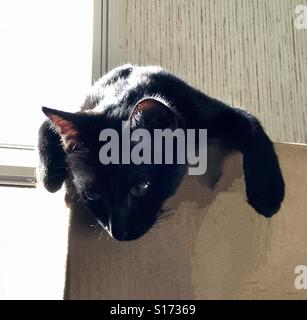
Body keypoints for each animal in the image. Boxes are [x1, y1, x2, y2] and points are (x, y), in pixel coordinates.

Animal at [38, 64, 286, 240]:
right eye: (92, 195)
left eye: (141, 187)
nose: (117, 231)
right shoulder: (85, 108)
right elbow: (44, 124)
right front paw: (49, 176)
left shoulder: (214, 110)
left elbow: (250, 121)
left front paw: (268, 194)